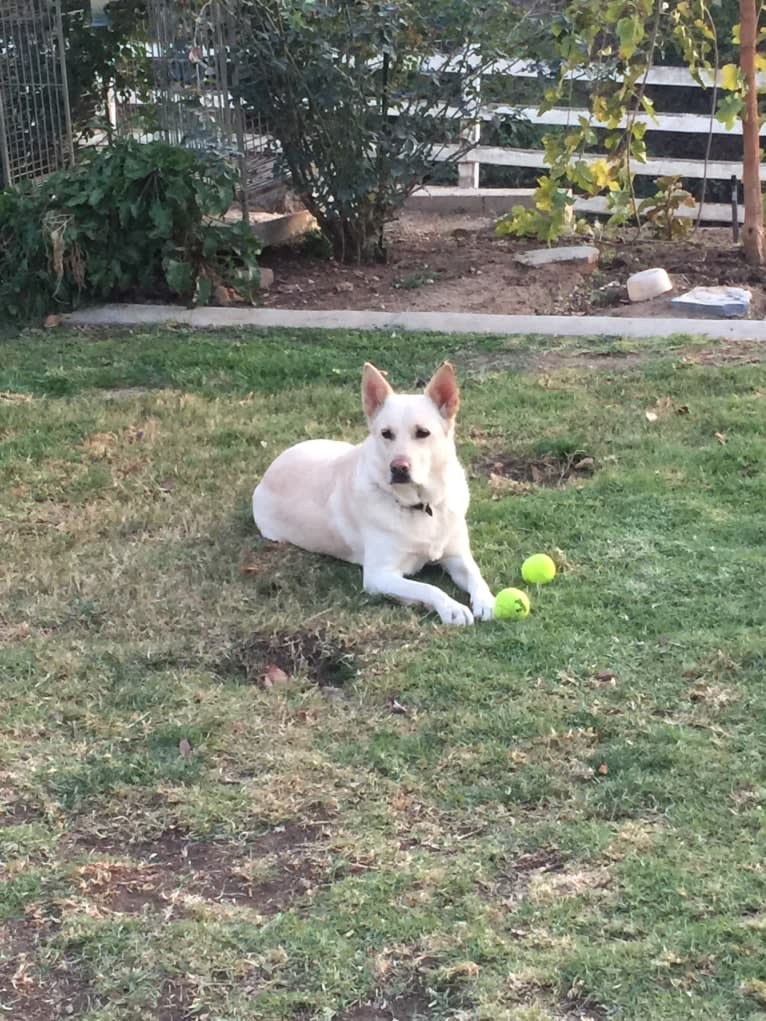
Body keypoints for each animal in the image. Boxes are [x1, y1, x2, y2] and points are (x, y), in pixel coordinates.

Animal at [249, 363, 494, 624]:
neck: (422, 506)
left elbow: (476, 574)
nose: (398, 468)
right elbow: (428, 588)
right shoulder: (379, 576)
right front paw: (451, 607)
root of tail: (271, 467)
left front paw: (486, 600)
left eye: (422, 433)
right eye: (386, 433)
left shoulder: (457, 556)